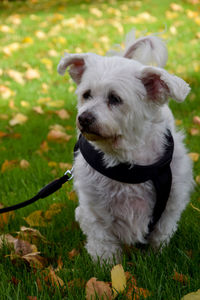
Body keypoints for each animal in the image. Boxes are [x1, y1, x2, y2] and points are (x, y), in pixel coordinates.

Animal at [57, 31, 194, 262]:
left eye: (115, 99)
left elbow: (161, 233)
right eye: (86, 94)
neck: (125, 160)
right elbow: (103, 242)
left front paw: (157, 257)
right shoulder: (94, 210)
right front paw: (106, 265)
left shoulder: (171, 203)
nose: (84, 118)